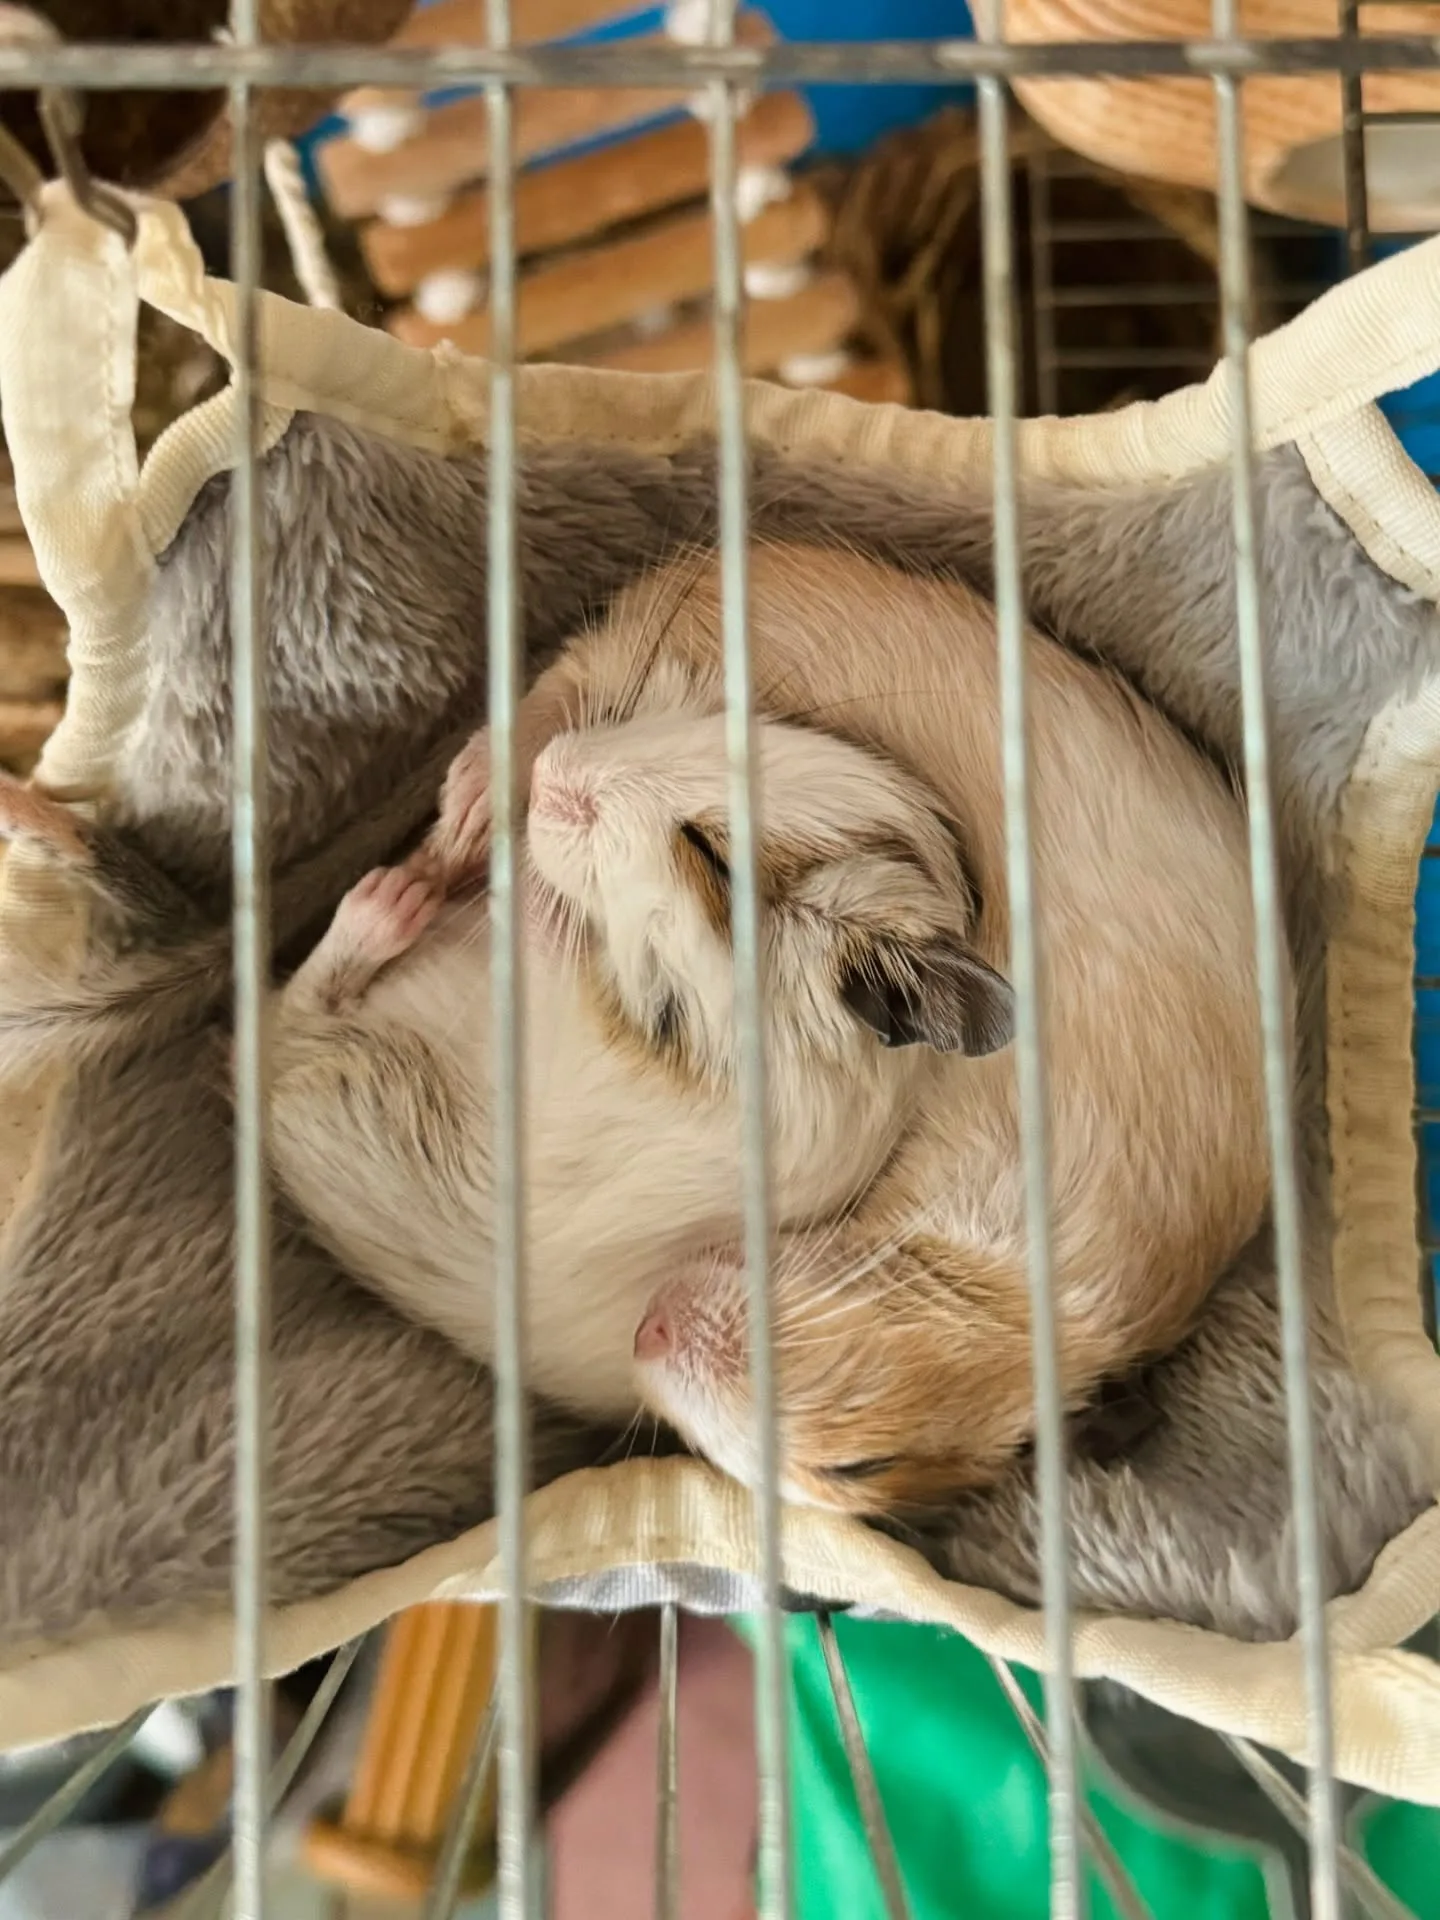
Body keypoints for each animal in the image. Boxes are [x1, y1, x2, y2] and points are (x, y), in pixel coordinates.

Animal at [262, 703, 1012, 1419]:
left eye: (713, 856)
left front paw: (515, 874)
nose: (547, 772)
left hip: (334, 1065)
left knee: (306, 1004)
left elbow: (537, 928)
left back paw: (391, 899)